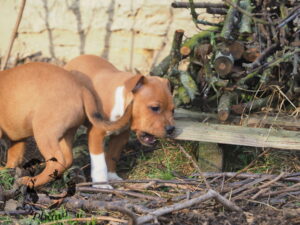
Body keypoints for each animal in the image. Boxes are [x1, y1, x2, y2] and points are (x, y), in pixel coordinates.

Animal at [0, 62, 131, 189]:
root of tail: (81, 88)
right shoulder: (17, 140)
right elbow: (13, 158)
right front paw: (5, 171)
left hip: (44, 132)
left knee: (57, 161)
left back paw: (30, 181)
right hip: (66, 134)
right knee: (67, 159)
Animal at [64, 54, 175, 183]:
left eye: (173, 110)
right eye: (155, 108)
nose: (171, 129)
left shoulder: (120, 136)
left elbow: (113, 156)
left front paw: (112, 176)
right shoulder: (96, 135)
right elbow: (100, 163)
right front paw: (102, 183)